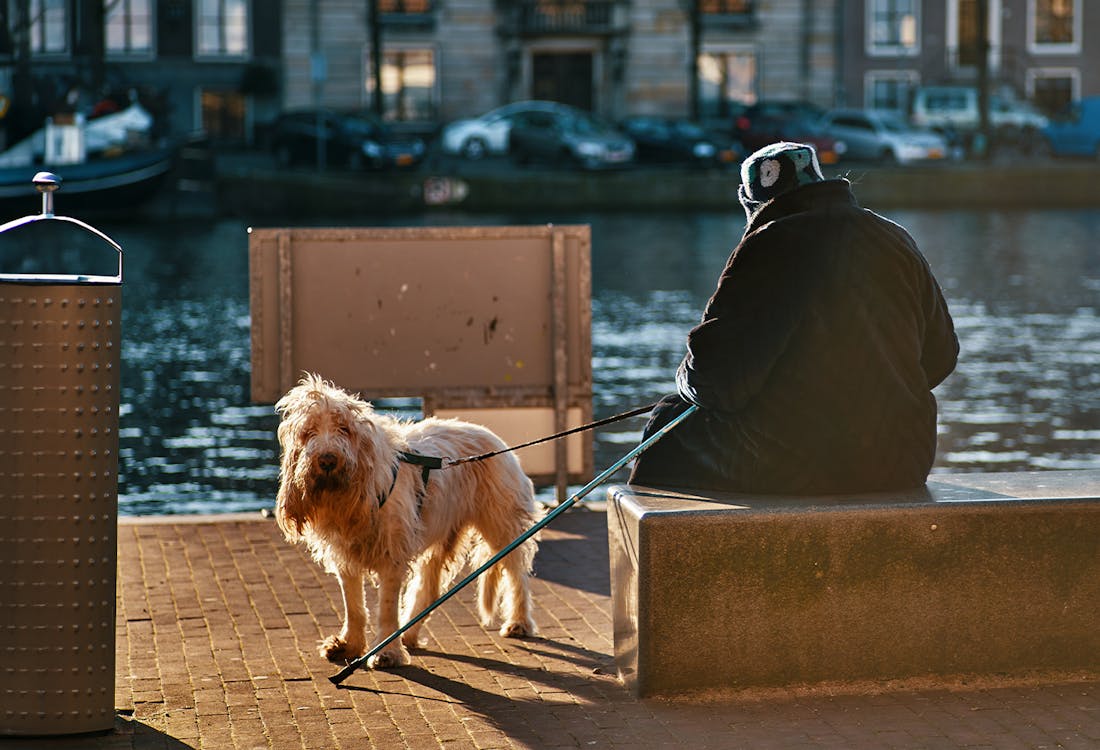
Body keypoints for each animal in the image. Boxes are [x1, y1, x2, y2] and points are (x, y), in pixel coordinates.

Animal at [270, 373, 536, 664]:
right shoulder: (346, 557)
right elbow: (354, 606)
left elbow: (387, 607)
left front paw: (387, 651)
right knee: (428, 591)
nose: (327, 460)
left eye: (344, 429)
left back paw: (519, 622)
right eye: (308, 433)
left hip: (502, 525)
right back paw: (409, 634)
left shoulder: (392, 553)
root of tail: (496, 440)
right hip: (442, 538)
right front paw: (350, 645)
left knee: (517, 575)